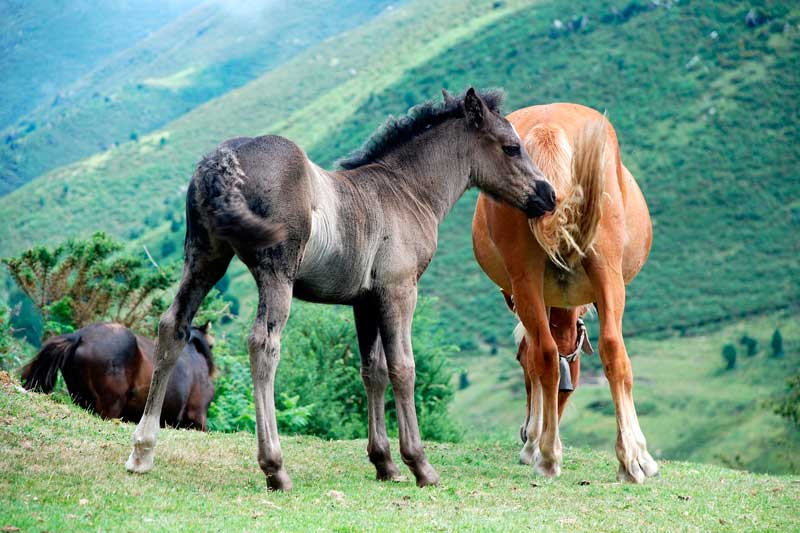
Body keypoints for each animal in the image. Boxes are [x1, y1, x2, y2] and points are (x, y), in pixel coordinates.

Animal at [125, 88, 557, 491]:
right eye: (512, 146)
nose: (548, 195)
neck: (408, 191)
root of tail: (225, 157)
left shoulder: (364, 301)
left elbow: (373, 370)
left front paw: (384, 464)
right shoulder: (399, 291)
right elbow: (403, 368)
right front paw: (420, 465)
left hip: (204, 259)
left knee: (173, 326)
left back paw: (142, 452)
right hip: (275, 273)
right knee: (263, 344)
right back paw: (275, 467)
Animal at [472, 102, 658, 483]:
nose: (524, 434)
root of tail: (550, 126)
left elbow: (539, 357)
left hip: (537, 278)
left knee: (559, 353)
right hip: (604, 271)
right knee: (605, 352)